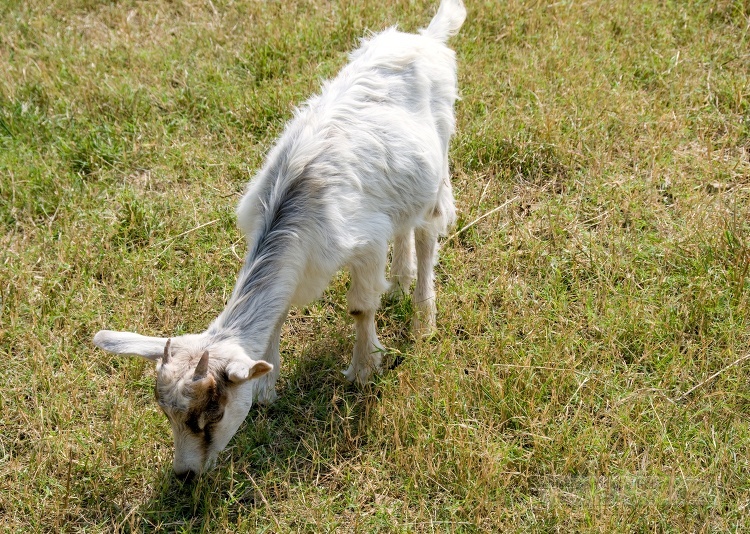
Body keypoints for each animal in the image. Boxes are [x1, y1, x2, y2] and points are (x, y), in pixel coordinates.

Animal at [93, 0, 468, 480]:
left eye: (211, 413)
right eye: (167, 415)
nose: (185, 475)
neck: (290, 223)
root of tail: (425, 38)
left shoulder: (365, 245)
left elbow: (361, 308)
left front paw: (363, 369)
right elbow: (278, 320)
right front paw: (267, 388)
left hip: (438, 163)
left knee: (427, 232)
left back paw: (423, 319)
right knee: (406, 225)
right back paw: (400, 281)